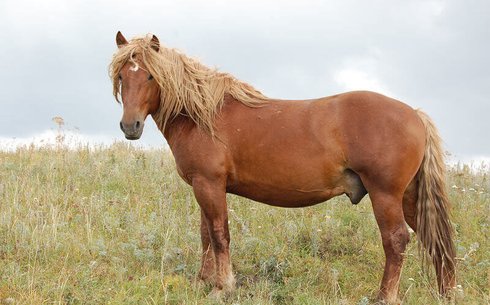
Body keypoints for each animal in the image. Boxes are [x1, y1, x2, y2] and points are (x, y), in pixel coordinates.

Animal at [110, 32, 456, 302]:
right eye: (122, 77)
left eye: (151, 76)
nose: (130, 126)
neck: (202, 115)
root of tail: (414, 114)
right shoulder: (204, 185)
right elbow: (206, 234)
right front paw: (203, 281)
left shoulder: (209, 184)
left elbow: (219, 235)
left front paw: (222, 287)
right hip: (409, 197)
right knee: (433, 240)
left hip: (385, 195)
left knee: (396, 240)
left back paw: (384, 296)